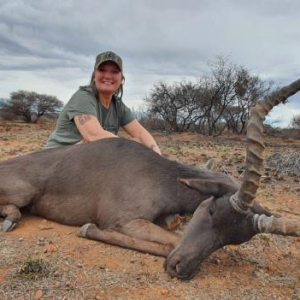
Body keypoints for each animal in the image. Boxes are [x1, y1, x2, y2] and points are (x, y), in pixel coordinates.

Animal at [0, 78, 300, 280]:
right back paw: (10, 220)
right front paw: (87, 229)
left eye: (233, 238)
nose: (181, 269)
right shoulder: (126, 222)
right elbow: (171, 241)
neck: (157, 177)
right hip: (25, 192)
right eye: (211, 210)